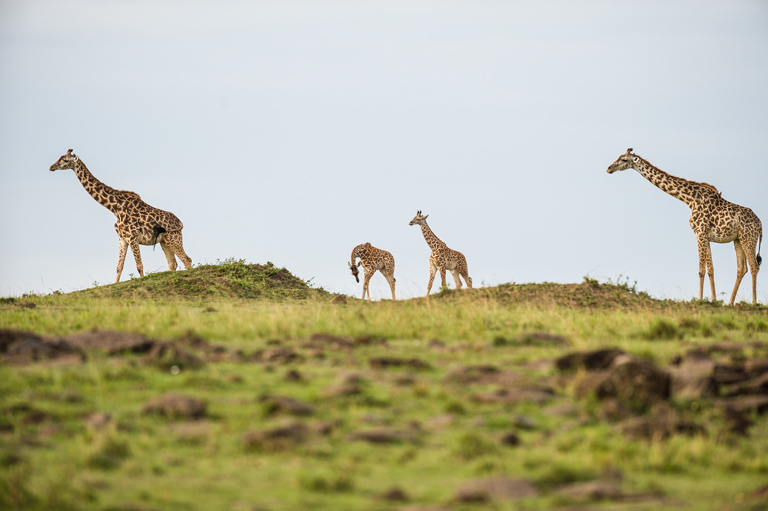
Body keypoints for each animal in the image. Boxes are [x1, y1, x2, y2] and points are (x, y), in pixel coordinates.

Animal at [48, 148, 192, 284]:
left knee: (187, 259)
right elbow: (119, 267)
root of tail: (180, 223)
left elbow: (139, 266)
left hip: (173, 238)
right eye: (60, 157)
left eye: (66, 160)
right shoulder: (122, 238)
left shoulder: (132, 237)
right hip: (164, 241)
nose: (51, 167)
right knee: (172, 263)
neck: (115, 209)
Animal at [608, 149, 760, 308]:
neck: (690, 200)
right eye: (619, 157)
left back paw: (754, 302)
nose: (609, 168)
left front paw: (700, 300)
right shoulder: (705, 236)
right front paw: (714, 300)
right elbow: (711, 269)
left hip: (748, 238)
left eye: (624, 160)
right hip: (738, 240)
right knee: (742, 268)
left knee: (754, 266)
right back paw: (730, 303)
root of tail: (760, 224)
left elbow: (701, 270)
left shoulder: (699, 233)